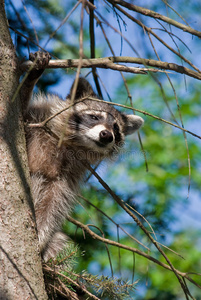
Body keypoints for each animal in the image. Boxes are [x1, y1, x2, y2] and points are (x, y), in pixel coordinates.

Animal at [20, 51, 144, 260]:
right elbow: (16, 114)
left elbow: (52, 209)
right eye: (94, 117)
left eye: (116, 129)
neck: (70, 144)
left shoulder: (67, 177)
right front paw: (31, 78)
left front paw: (40, 238)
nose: (107, 135)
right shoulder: (36, 117)